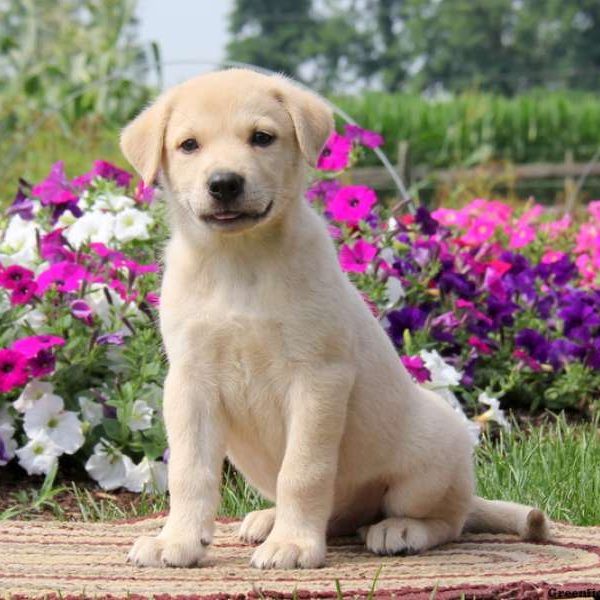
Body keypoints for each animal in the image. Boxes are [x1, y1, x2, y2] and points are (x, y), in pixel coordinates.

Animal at [120, 68, 548, 568]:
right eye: (189, 145)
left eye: (262, 137)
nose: (224, 183)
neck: (239, 262)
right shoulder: (190, 382)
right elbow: (190, 472)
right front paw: (178, 540)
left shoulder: (318, 377)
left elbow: (303, 471)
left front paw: (292, 544)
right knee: (339, 516)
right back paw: (268, 520)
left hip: (430, 459)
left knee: (449, 519)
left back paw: (399, 529)